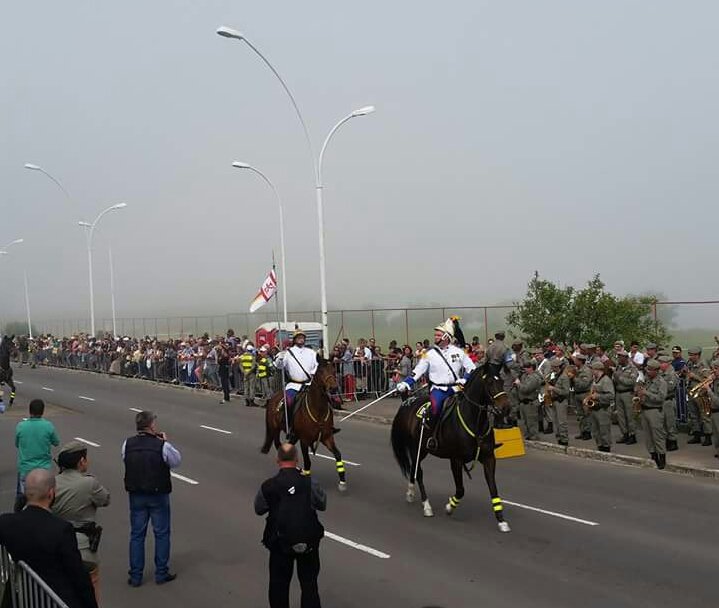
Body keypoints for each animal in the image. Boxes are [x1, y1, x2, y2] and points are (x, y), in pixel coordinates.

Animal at [262, 358, 348, 492]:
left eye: (334, 370)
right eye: (320, 372)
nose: (333, 388)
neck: (318, 410)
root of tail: (273, 397)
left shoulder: (327, 437)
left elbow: (338, 455)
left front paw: (342, 482)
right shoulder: (304, 440)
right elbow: (307, 462)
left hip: (293, 435)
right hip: (275, 429)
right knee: (279, 445)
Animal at [390, 366, 516, 532]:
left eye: (501, 381)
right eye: (489, 382)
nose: (506, 408)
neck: (474, 420)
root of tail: (408, 401)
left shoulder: (489, 458)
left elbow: (493, 488)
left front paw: (501, 520)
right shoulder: (456, 460)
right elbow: (461, 490)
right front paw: (449, 507)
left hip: (421, 451)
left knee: (413, 470)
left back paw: (410, 493)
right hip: (416, 448)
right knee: (419, 473)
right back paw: (427, 506)